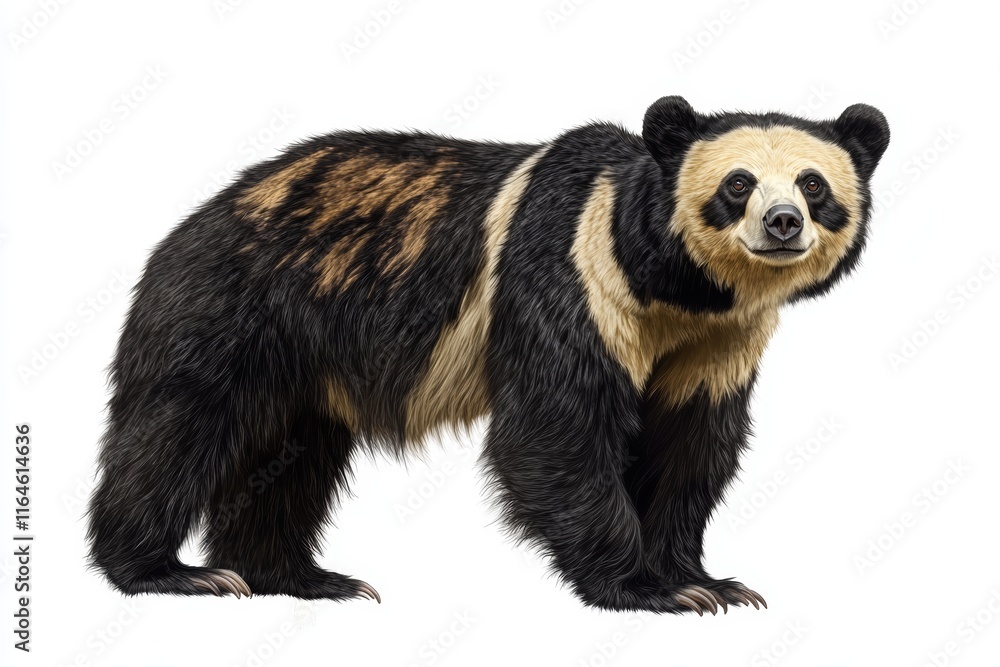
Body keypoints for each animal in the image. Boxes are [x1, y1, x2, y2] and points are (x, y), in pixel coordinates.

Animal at [87, 95, 889, 614]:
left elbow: (690, 441)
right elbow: (554, 427)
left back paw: (299, 575)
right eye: (737, 184)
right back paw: (167, 571)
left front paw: (708, 581)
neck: (677, 287)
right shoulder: (572, 270)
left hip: (307, 360)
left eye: (814, 184)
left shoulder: (717, 342)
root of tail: (203, 213)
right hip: (237, 303)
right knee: (178, 426)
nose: (782, 224)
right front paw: (646, 587)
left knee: (292, 454)